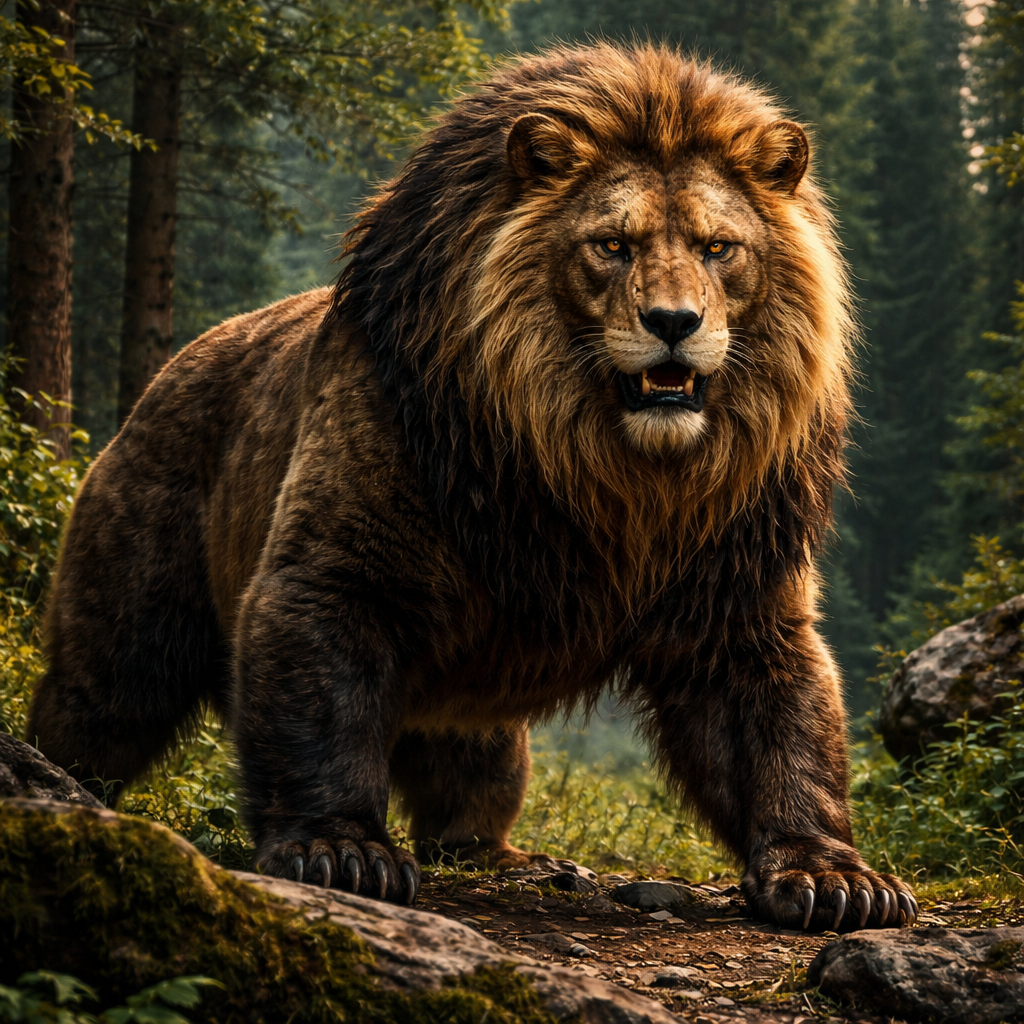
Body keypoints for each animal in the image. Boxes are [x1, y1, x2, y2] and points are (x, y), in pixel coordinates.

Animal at [28, 43, 917, 930]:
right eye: (613, 245)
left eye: (717, 248)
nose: (673, 323)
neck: (618, 471)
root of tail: (169, 371)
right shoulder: (340, 566)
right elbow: (323, 707)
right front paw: (340, 851)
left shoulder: (738, 587)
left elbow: (780, 732)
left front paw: (835, 877)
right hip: (128, 615)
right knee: (94, 708)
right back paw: (59, 788)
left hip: (479, 716)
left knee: (471, 778)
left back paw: (511, 859)